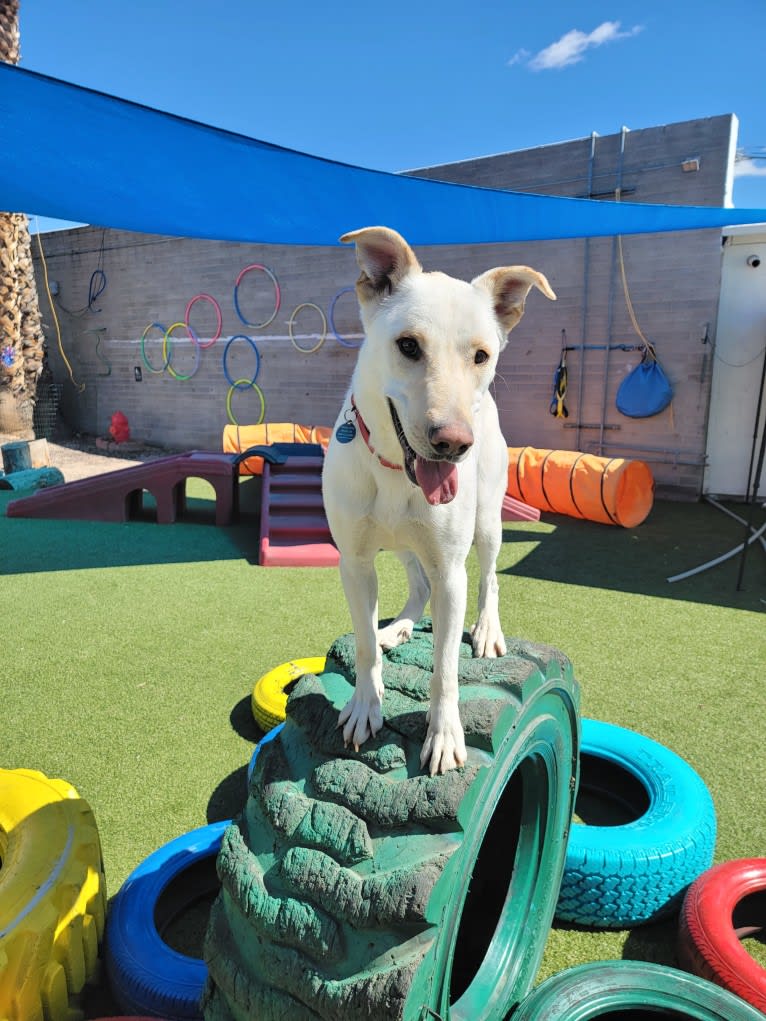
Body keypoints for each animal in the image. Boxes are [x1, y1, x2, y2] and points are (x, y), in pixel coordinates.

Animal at [320, 227, 555, 771]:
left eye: (481, 355)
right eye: (408, 345)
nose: (453, 443)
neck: (393, 470)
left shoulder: (452, 572)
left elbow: (445, 666)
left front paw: (445, 734)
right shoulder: (354, 563)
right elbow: (364, 645)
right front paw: (365, 705)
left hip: (488, 522)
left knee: (489, 577)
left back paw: (486, 630)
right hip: (404, 543)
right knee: (416, 583)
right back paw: (400, 627)